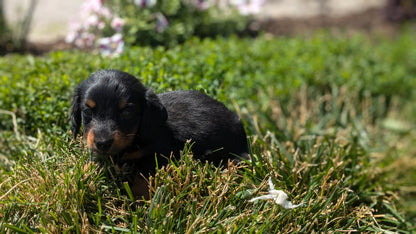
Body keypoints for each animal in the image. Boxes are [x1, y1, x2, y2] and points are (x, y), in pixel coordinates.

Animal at [70, 69, 250, 197]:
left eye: (126, 112)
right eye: (87, 111)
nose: (102, 143)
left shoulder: (160, 153)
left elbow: (143, 175)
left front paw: (139, 198)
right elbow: (94, 162)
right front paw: (81, 176)